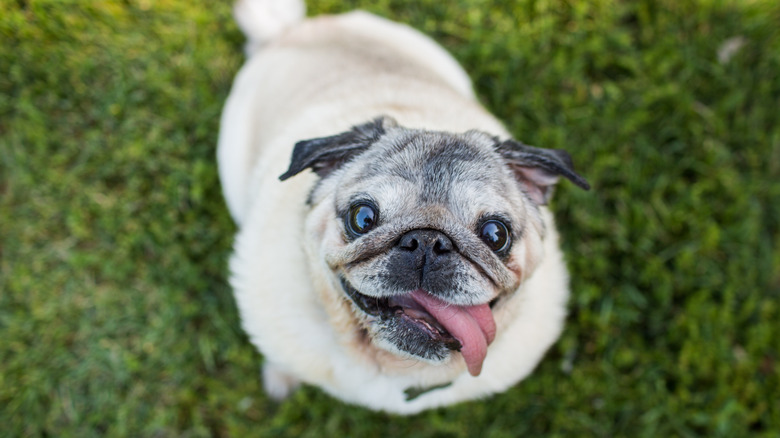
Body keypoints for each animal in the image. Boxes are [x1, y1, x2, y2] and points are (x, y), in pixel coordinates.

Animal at [216, 0, 588, 414]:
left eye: (495, 235)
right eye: (363, 218)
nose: (427, 241)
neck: (397, 365)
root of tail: (291, 31)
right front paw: (281, 377)